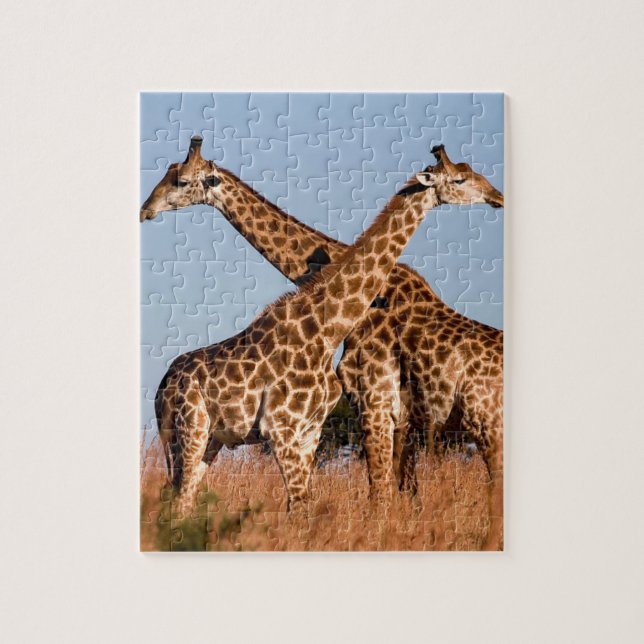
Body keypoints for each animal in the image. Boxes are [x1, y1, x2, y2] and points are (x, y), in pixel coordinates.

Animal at [141, 138, 505, 547]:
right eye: (461, 178)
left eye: (181, 180)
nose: (146, 209)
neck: (325, 325)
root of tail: (163, 385)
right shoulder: (304, 425)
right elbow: (358, 500)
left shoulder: (323, 426)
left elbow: (324, 505)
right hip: (192, 430)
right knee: (180, 498)